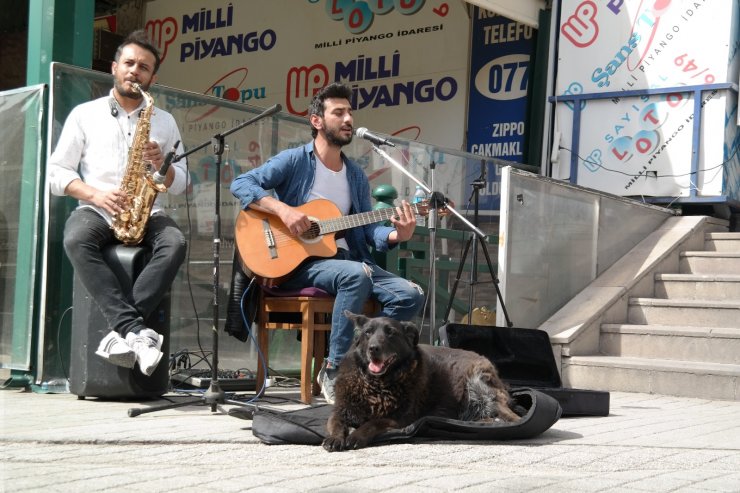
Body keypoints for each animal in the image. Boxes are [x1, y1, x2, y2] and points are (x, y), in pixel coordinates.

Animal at [324, 312, 520, 450]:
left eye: (390, 333)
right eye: (368, 333)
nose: (373, 348)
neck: (376, 384)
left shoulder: (400, 419)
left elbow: (372, 423)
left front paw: (356, 435)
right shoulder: (341, 410)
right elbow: (336, 423)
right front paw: (335, 438)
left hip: (478, 384)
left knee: (512, 417)